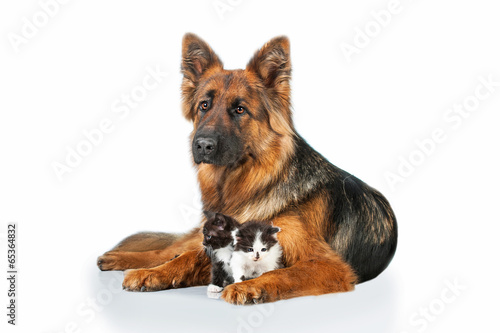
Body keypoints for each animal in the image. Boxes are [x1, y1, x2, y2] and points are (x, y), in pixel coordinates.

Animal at [95, 33, 396, 304]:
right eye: (204, 105)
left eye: (240, 110)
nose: (202, 145)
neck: (247, 187)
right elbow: (186, 257)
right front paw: (154, 273)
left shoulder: (328, 265)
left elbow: (282, 273)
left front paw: (249, 287)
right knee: (173, 249)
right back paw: (124, 259)